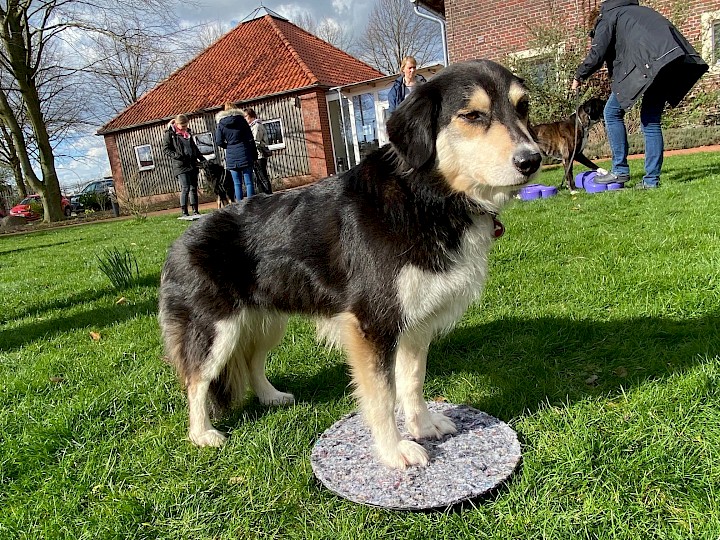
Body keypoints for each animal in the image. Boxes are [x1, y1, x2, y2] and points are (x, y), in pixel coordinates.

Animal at [158, 61, 540, 470]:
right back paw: (202, 434)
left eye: (523, 107)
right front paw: (393, 450)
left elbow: (412, 381)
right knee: (196, 380)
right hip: (216, 330)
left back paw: (270, 396)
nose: (532, 160)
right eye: (472, 115)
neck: (426, 198)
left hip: (266, 322)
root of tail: (178, 243)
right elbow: (383, 395)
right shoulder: (372, 323)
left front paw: (422, 425)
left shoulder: (416, 321)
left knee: (250, 361)